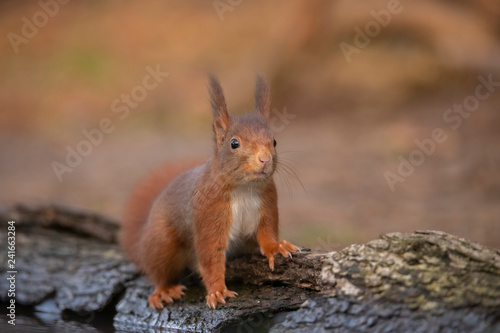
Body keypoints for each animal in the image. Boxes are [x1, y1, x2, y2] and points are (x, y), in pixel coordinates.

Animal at [120, 74, 296, 308]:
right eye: (234, 143)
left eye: (274, 141)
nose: (265, 159)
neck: (244, 188)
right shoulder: (209, 215)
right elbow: (210, 256)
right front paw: (217, 291)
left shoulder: (267, 204)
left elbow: (267, 231)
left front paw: (276, 247)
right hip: (161, 242)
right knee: (157, 272)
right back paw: (164, 290)